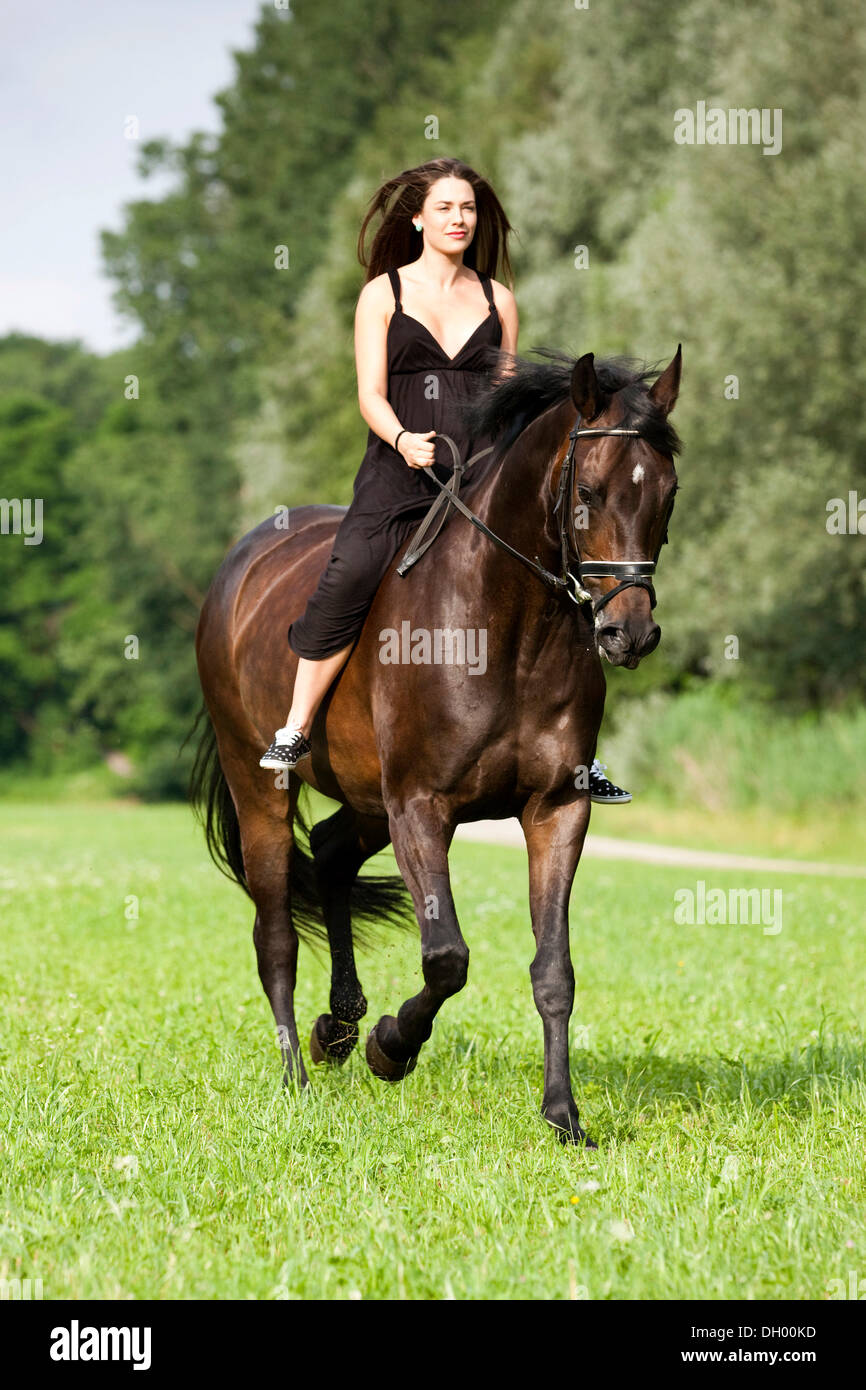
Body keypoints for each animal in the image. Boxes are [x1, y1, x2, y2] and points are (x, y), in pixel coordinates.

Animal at [191, 344, 683, 1139]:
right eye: (588, 491)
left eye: (666, 495)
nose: (628, 634)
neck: (510, 631)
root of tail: (238, 567)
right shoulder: (421, 808)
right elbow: (447, 957)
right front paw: (392, 1047)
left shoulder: (557, 809)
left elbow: (555, 971)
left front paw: (563, 1116)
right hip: (263, 786)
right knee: (275, 934)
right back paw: (299, 1077)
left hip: (368, 800)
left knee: (331, 851)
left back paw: (337, 1027)